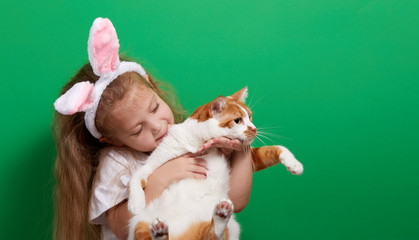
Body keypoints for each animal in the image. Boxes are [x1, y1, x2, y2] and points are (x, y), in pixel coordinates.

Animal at [126, 87, 304, 239]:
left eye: (250, 117)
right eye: (237, 120)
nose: (254, 129)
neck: (199, 143)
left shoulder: (249, 156)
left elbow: (273, 149)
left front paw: (294, 164)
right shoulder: (153, 162)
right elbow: (136, 176)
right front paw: (136, 203)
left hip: (231, 226)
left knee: (211, 235)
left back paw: (220, 215)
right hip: (140, 223)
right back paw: (160, 230)